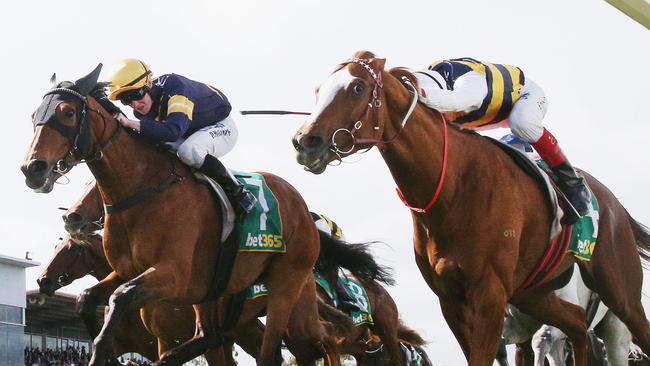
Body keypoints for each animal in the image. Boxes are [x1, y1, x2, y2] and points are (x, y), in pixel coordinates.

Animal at [20, 65, 346, 366]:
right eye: (35, 114)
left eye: (67, 112)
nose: (32, 168)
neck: (143, 188)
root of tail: (301, 206)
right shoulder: (128, 272)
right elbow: (87, 299)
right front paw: (112, 354)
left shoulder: (173, 275)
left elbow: (120, 297)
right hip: (217, 293)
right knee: (211, 336)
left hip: (287, 288)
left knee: (311, 343)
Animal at [292, 50, 648, 366]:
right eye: (318, 90)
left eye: (357, 87)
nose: (305, 142)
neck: (454, 187)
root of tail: (614, 205)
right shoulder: (451, 299)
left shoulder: (489, 295)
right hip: (534, 293)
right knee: (576, 324)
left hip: (620, 294)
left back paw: (576, 191)